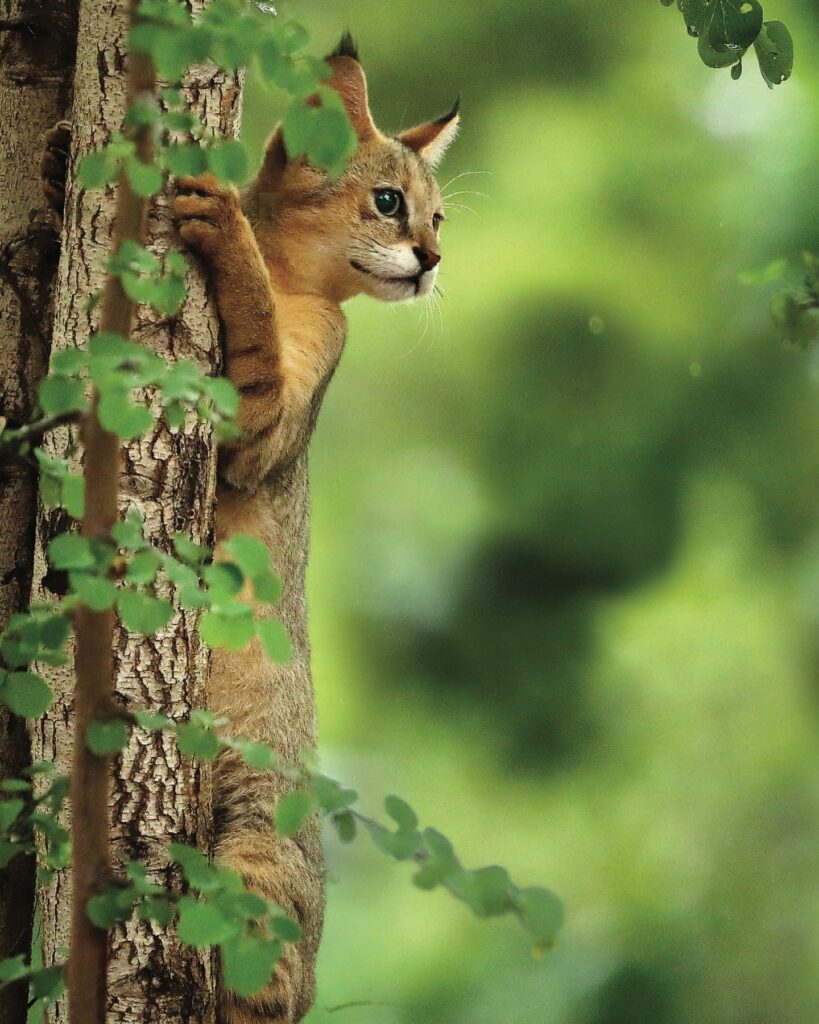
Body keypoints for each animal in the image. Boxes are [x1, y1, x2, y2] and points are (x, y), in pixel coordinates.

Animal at [41, 32, 459, 1023]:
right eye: (391, 203)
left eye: (440, 218)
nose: (432, 259)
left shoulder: (259, 420)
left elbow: (260, 334)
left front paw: (221, 221)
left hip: (259, 849)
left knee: (264, 982)